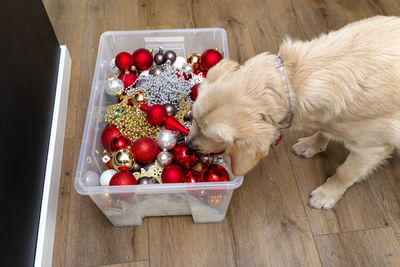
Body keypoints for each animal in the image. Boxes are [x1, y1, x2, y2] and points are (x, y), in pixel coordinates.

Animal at [189, 15, 400, 210]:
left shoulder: (372, 148)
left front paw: (327, 194)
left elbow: (345, 173)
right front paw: (313, 144)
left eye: (215, 137)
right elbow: (324, 131)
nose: (189, 146)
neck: (291, 82)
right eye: (194, 118)